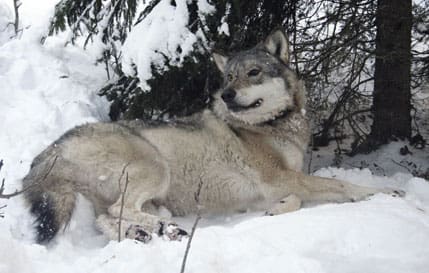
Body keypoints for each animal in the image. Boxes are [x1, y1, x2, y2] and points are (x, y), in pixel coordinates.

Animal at [20, 29, 402, 242]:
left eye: (253, 73)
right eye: (229, 77)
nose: (227, 95)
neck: (270, 126)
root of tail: (49, 149)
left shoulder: (277, 184)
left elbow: (294, 199)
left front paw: (276, 210)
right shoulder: (279, 178)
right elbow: (341, 185)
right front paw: (387, 192)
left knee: (106, 218)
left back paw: (148, 232)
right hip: (156, 168)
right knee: (119, 209)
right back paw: (164, 227)